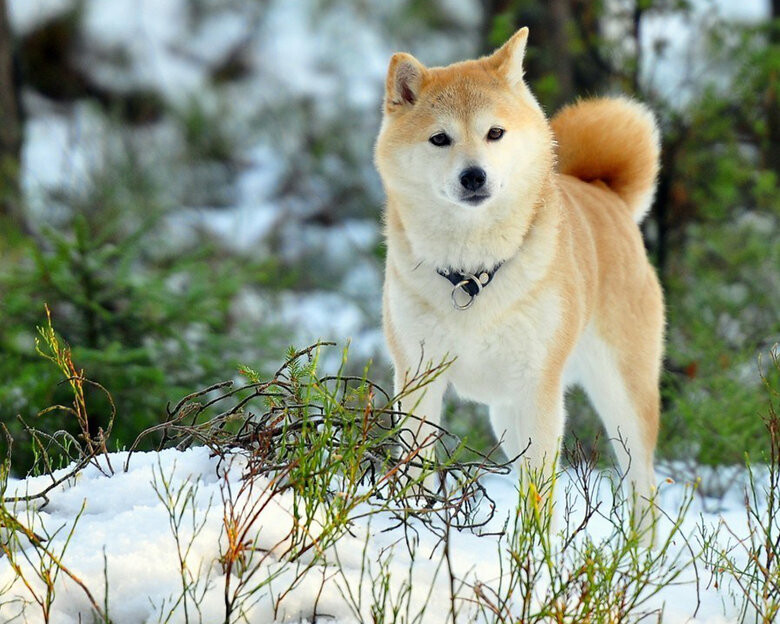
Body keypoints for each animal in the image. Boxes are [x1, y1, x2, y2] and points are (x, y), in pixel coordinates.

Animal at [374, 26, 660, 528]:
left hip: (623, 400)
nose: (473, 176)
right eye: (440, 138)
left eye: (495, 133)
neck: (470, 276)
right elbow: (414, 469)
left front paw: (536, 548)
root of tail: (606, 194)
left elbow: (540, 497)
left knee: (644, 491)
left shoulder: (538, 391)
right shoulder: (418, 378)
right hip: (505, 417)